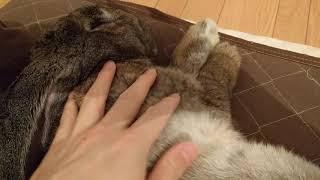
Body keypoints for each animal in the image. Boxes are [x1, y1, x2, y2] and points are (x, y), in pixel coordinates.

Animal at [0, 4, 320, 180]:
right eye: (104, 18)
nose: (146, 27)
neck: (96, 67)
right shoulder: (202, 98)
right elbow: (204, 68)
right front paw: (214, 38)